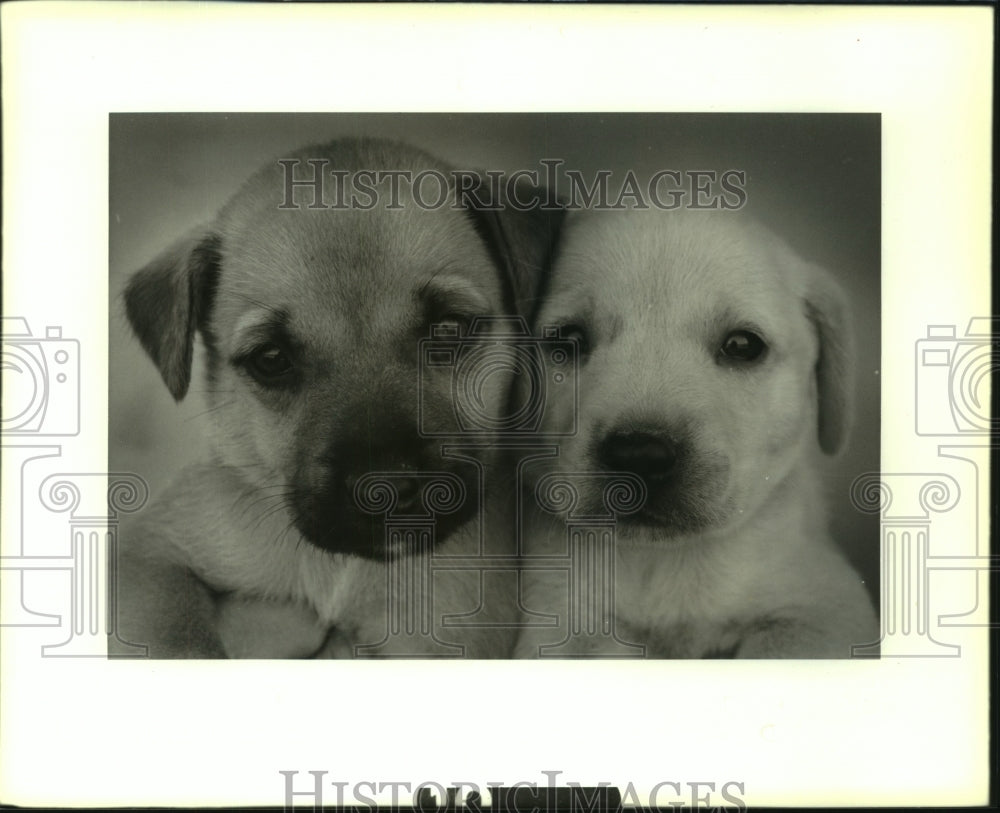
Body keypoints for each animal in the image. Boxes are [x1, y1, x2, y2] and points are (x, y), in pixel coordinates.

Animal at [112, 138, 564, 660]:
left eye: (448, 328)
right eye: (271, 358)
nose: (385, 487)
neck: (346, 569)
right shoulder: (149, 555)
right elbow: (176, 639)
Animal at [516, 209, 876, 660]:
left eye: (741, 345)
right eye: (569, 338)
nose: (640, 456)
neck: (668, 562)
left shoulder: (826, 603)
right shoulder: (558, 617)